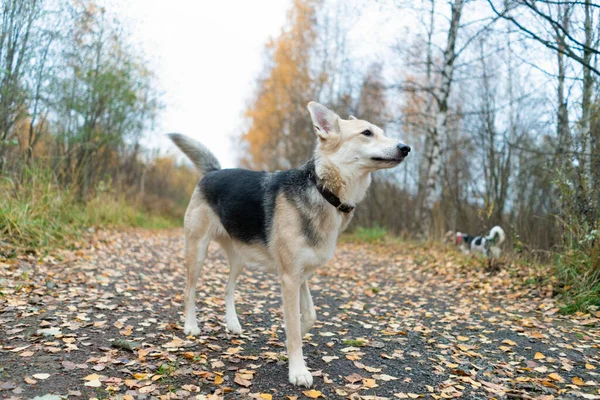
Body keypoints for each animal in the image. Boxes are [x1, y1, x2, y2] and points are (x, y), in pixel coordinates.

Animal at [171, 101, 410, 386]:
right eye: (367, 133)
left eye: (382, 132)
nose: (406, 148)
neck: (323, 190)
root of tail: (213, 172)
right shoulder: (289, 277)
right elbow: (295, 327)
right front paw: (298, 370)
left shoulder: (301, 274)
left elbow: (308, 316)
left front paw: (286, 345)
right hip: (197, 251)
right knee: (189, 291)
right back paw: (191, 326)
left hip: (240, 258)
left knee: (228, 289)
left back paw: (233, 324)